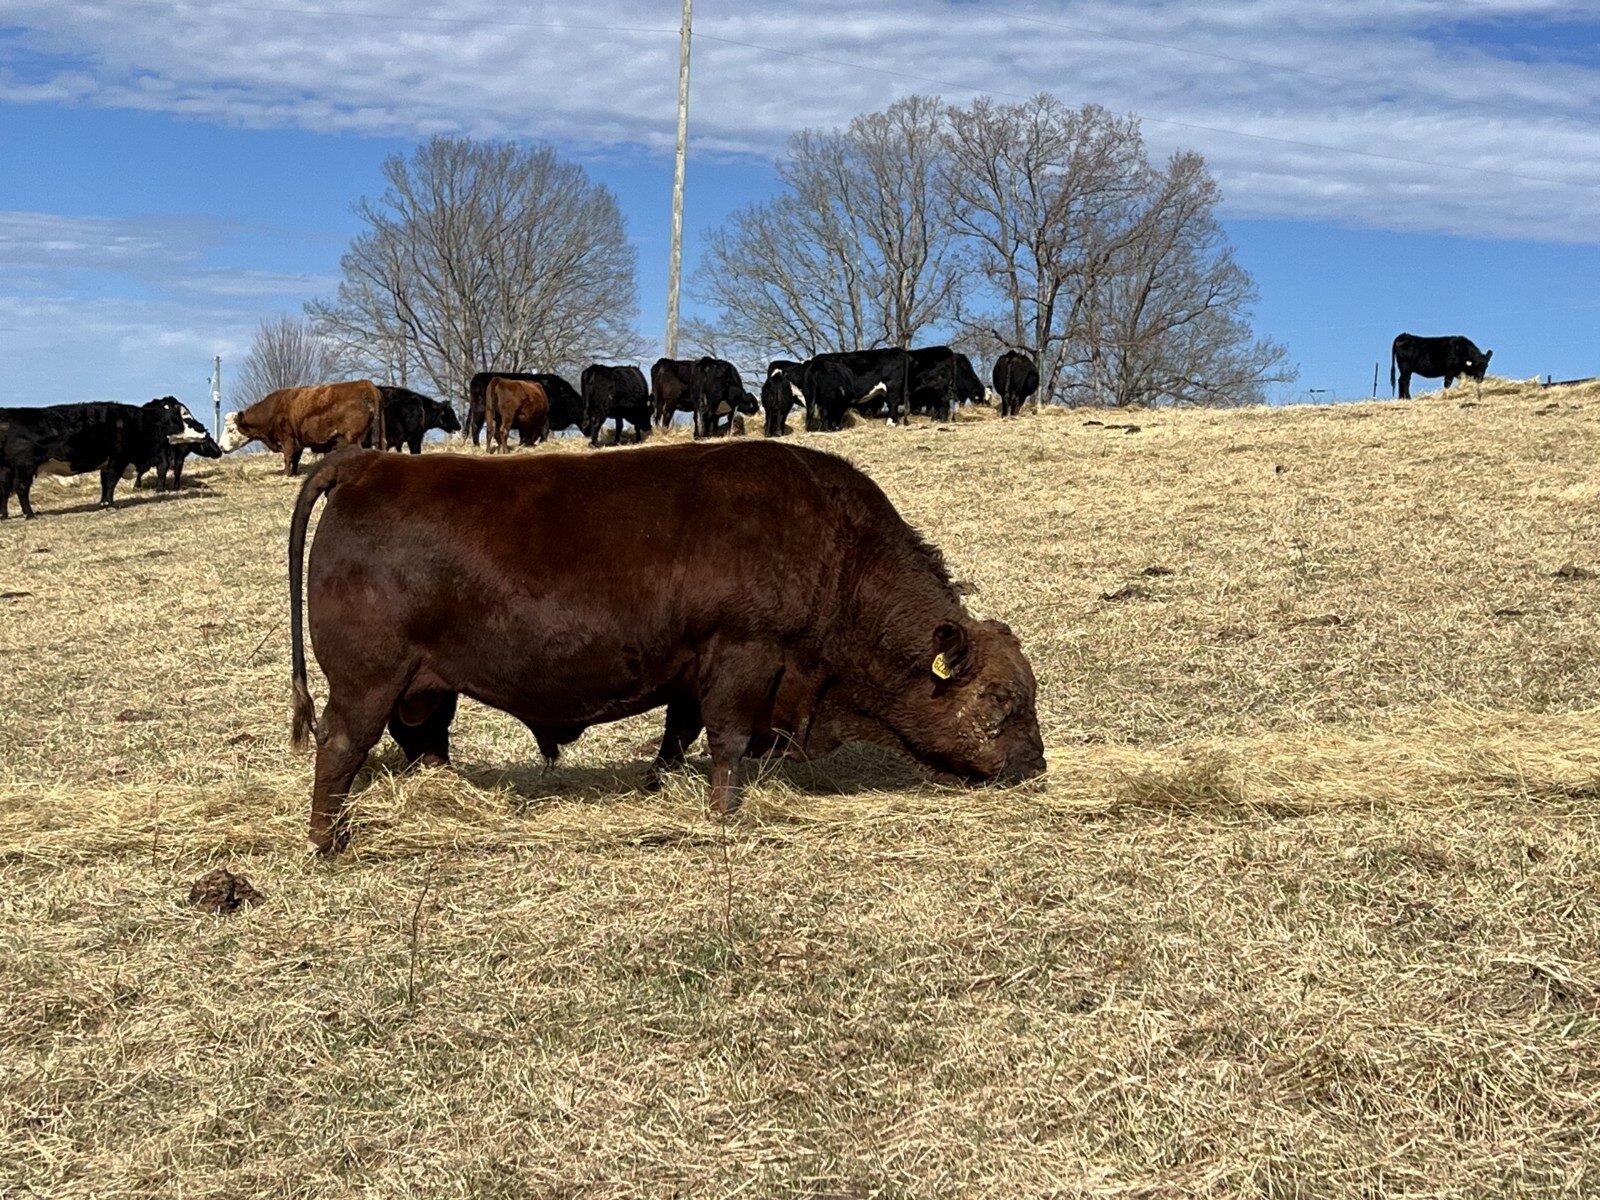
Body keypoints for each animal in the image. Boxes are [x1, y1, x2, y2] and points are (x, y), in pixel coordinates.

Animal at [1, 398, 211, 518]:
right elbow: (111, 482)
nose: (205, 432)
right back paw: (30, 514)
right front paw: (109, 504)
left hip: (5, 469)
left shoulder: (106, 462)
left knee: (4, 490)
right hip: (25, 467)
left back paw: (4, 515)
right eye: (187, 418)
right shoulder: (118, 459)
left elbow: (104, 483)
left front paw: (102, 502)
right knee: (21, 488)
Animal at [220, 380, 385, 476]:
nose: (220, 446)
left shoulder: (287, 438)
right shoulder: (298, 442)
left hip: (354, 438)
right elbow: (296, 459)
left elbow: (288, 457)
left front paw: (286, 474)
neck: (274, 409)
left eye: (231, 429)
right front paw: (294, 473)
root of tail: (365, 384)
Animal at [286, 440, 1045, 853]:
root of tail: (368, 462)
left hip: (423, 692)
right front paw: (723, 817)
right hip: (368, 683)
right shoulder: (743, 657)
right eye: (1002, 699)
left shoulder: (691, 670)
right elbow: (727, 741)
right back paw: (329, 842)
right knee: (340, 748)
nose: (1035, 765)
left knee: (424, 746)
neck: (835, 548)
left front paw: (658, 787)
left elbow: (679, 734)